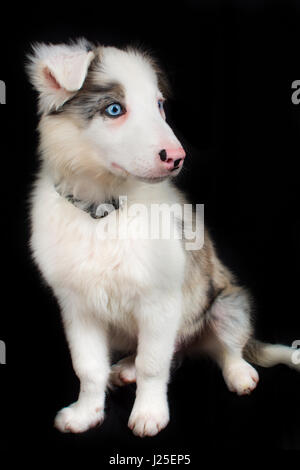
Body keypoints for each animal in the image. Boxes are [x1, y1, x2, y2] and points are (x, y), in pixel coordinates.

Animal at [27, 39, 298, 436]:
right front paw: (86, 413)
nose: (177, 157)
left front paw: (150, 414)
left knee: (224, 347)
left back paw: (239, 373)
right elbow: (88, 367)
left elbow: (154, 365)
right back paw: (123, 369)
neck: (105, 212)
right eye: (114, 109)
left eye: (159, 105)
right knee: (160, 355)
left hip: (225, 304)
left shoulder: (161, 301)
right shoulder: (77, 306)